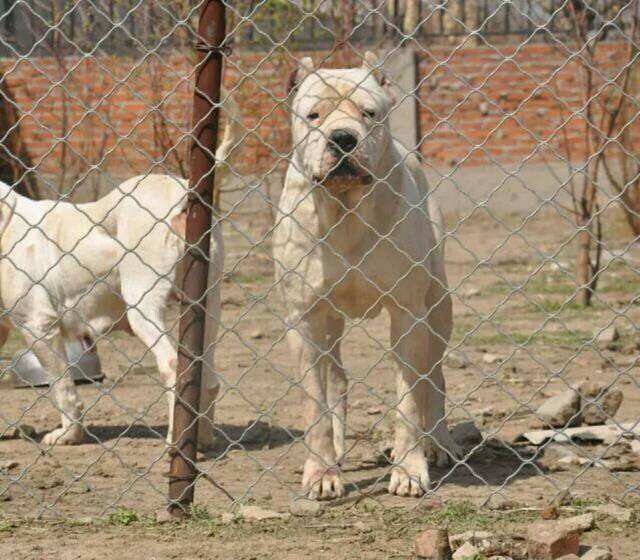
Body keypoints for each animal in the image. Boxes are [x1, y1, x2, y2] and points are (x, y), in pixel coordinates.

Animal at [0, 174, 225, 446]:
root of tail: (178, 188)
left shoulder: (39, 326)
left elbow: (62, 387)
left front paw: (68, 434)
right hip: (207, 306)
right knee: (209, 380)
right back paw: (201, 439)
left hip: (142, 305)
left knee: (172, 365)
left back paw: (176, 440)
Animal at [272, 52, 462, 498]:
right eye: (314, 115)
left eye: (369, 113)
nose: (343, 138)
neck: (345, 211)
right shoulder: (303, 319)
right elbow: (314, 404)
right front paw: (321, 473)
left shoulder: (409, 315)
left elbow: (409, 400)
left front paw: (409, 470)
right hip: (329, 324)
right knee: (335, 377)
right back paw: (339, 449)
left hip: (437, 309)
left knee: (435, 378)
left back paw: (438, 444)